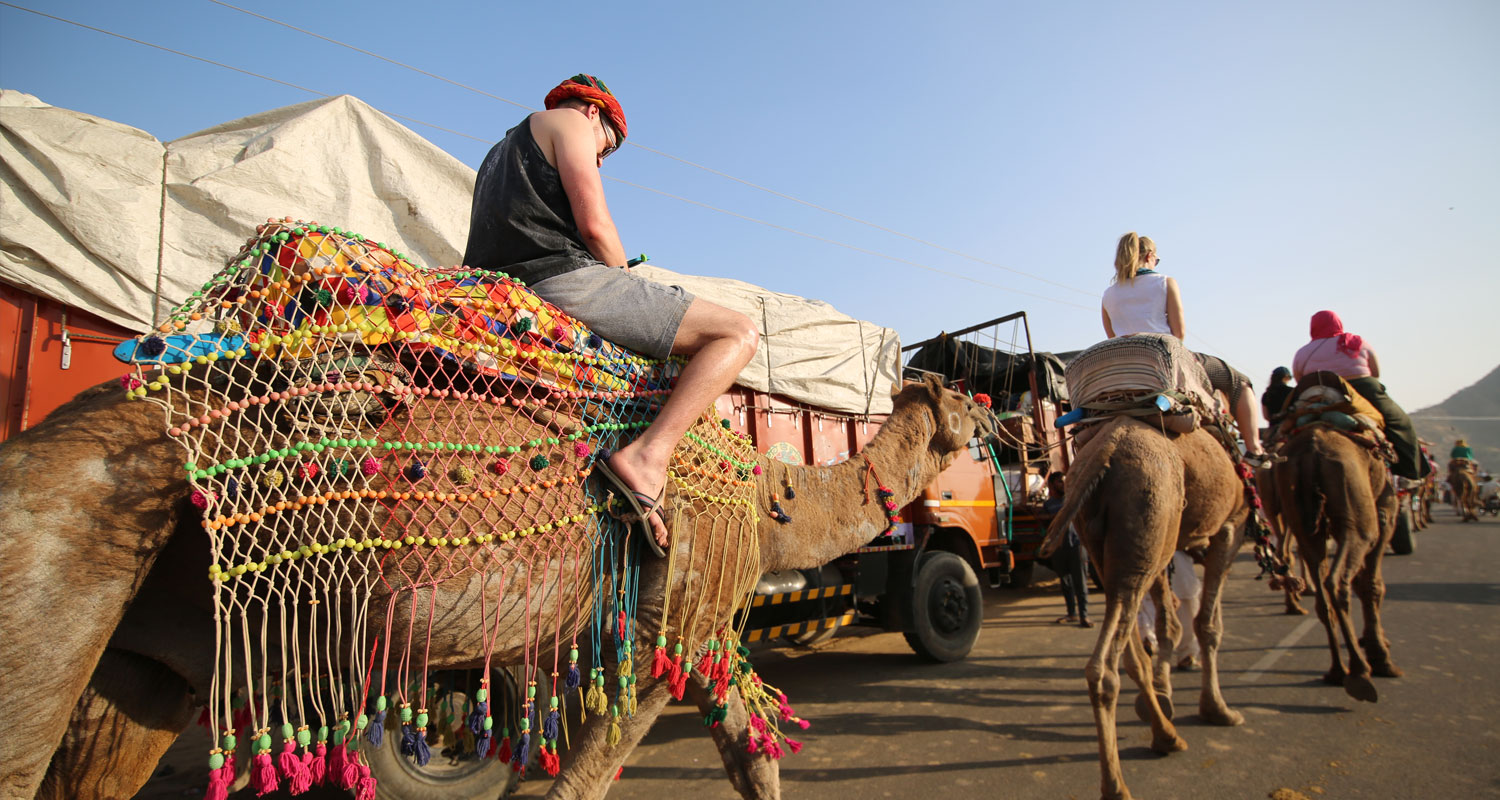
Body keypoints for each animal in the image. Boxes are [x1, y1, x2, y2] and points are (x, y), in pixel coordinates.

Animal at [2, 367, 996, 800]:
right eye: (974, 408)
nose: (1004, 425)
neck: (772, 494)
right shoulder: (662, 622)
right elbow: (578, 780)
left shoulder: (700, 625)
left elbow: (751, 745)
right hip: (53, 563)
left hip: (150, 657)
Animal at [1050, 414, 1248, 792]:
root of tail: (1105, 450)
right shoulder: (1230, 528)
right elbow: (1208, 624)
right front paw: (1218, 709)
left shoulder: (1169, 543)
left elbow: (1169, 622)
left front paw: (1165, 688)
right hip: (1147, 514)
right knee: (1104, 668)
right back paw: (1117, 785)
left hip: (1123, 541)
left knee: (1131, 647)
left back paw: (1165, 734)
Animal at [1272, 423, 1398, 699]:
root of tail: (1311, 453)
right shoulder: (1385, 513)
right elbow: (1373, 585)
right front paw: (1381, 655)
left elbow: (1364, 583)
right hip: (1356, 519)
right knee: (1338, 582)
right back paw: (1360, 672)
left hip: (1302, 518)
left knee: (1322, 595)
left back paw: (1337, 671)